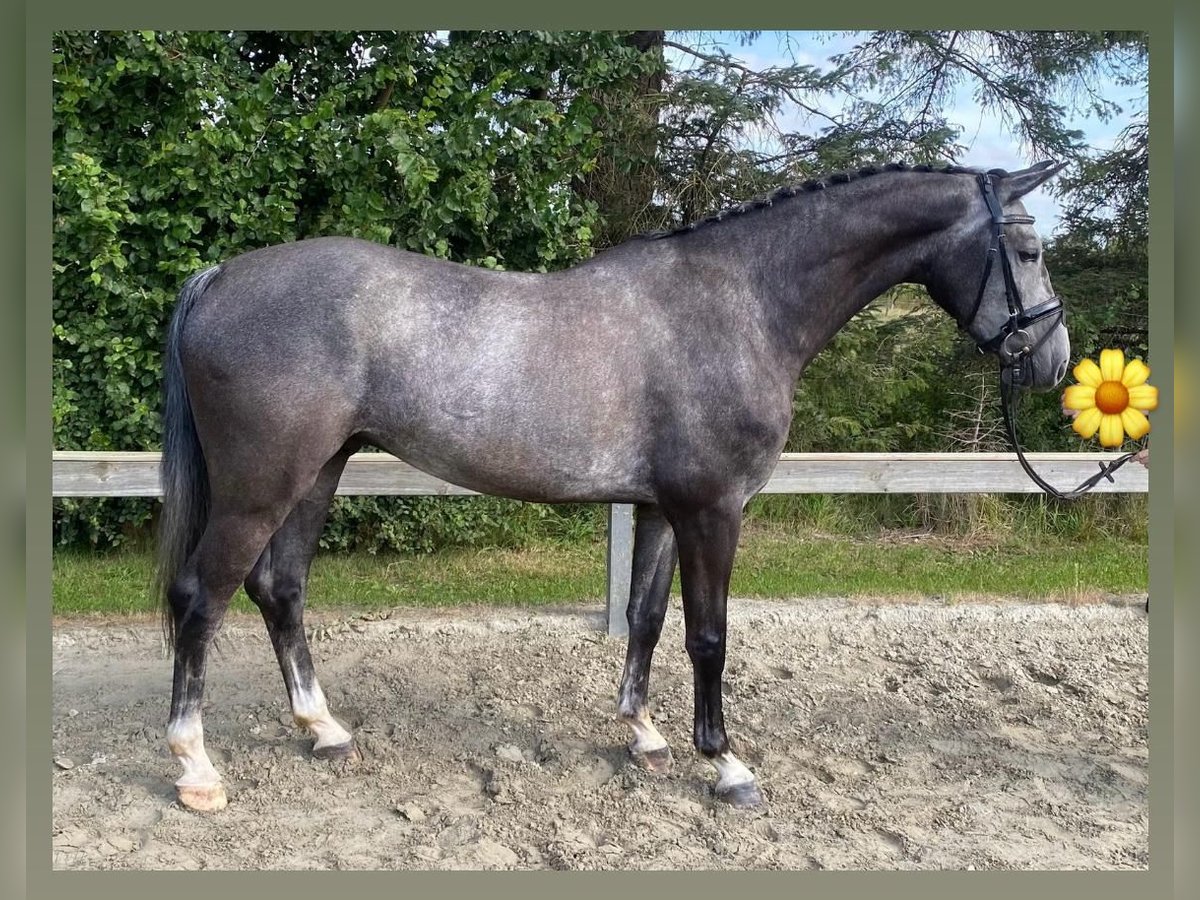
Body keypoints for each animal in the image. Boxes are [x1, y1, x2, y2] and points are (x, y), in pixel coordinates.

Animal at [154, 158, 1065, 816]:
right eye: (1027, 251)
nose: (1053, 362)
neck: (741, 305)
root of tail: (219, 277)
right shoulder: (714, 510)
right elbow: (709, 636)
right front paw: (725, 764)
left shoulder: (663, 509)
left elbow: (648, 618)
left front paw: (644, 735)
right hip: (260, 486)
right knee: (204, 595)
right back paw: (196, 769)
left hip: (319, 471)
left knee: (281, 588)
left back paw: (324, 730)